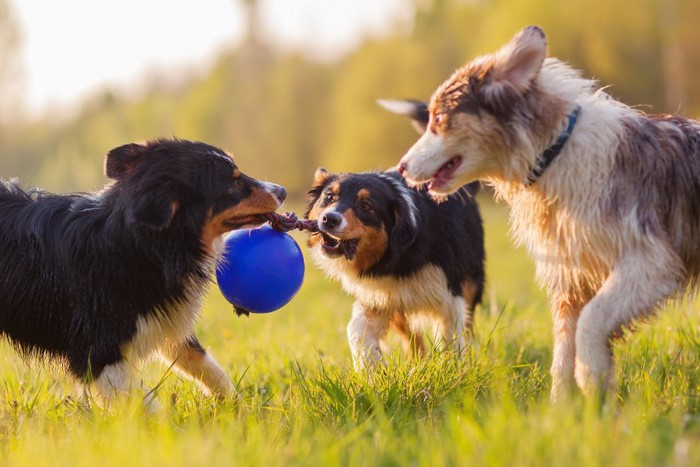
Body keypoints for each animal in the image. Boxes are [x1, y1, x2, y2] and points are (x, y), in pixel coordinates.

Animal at [304, 168, 484, 370]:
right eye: (329, 196)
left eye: (365, 206)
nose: (329, 219)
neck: (398, 259)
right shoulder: (377, 295)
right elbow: (356, 330)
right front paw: (372, 368)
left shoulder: (449, 294)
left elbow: (449, 340)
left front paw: (452, 369)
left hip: (470, 284)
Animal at [394, 25, 700, 400]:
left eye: (439, 119)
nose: (402, 167)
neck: (554, 153)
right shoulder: (571, 276)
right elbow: (563, 351)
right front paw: (563, 408)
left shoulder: (650, 259)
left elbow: (592, 321)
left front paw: (591, 376)